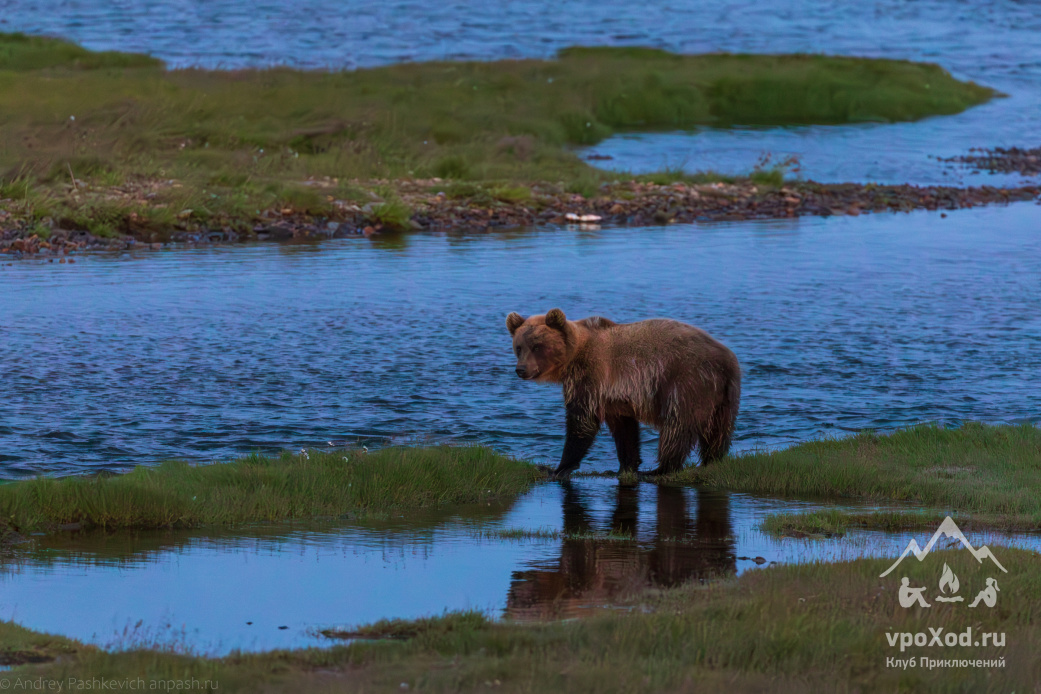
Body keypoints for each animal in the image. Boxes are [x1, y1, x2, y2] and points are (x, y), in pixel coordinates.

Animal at [505, 310, 741, 478]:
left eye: (537, 346)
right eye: (519, 347)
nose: (521, 369)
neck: (572, 357)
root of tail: (726, 360)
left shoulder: (591, 377)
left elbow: (582, 421)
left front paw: (556, 468)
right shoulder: (615, 396)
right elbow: (624, 429)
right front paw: (626, 466)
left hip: (685, 381)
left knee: (676, 426)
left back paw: (660, 469)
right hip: (724, 397)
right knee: (718, 431)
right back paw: (711, 460)